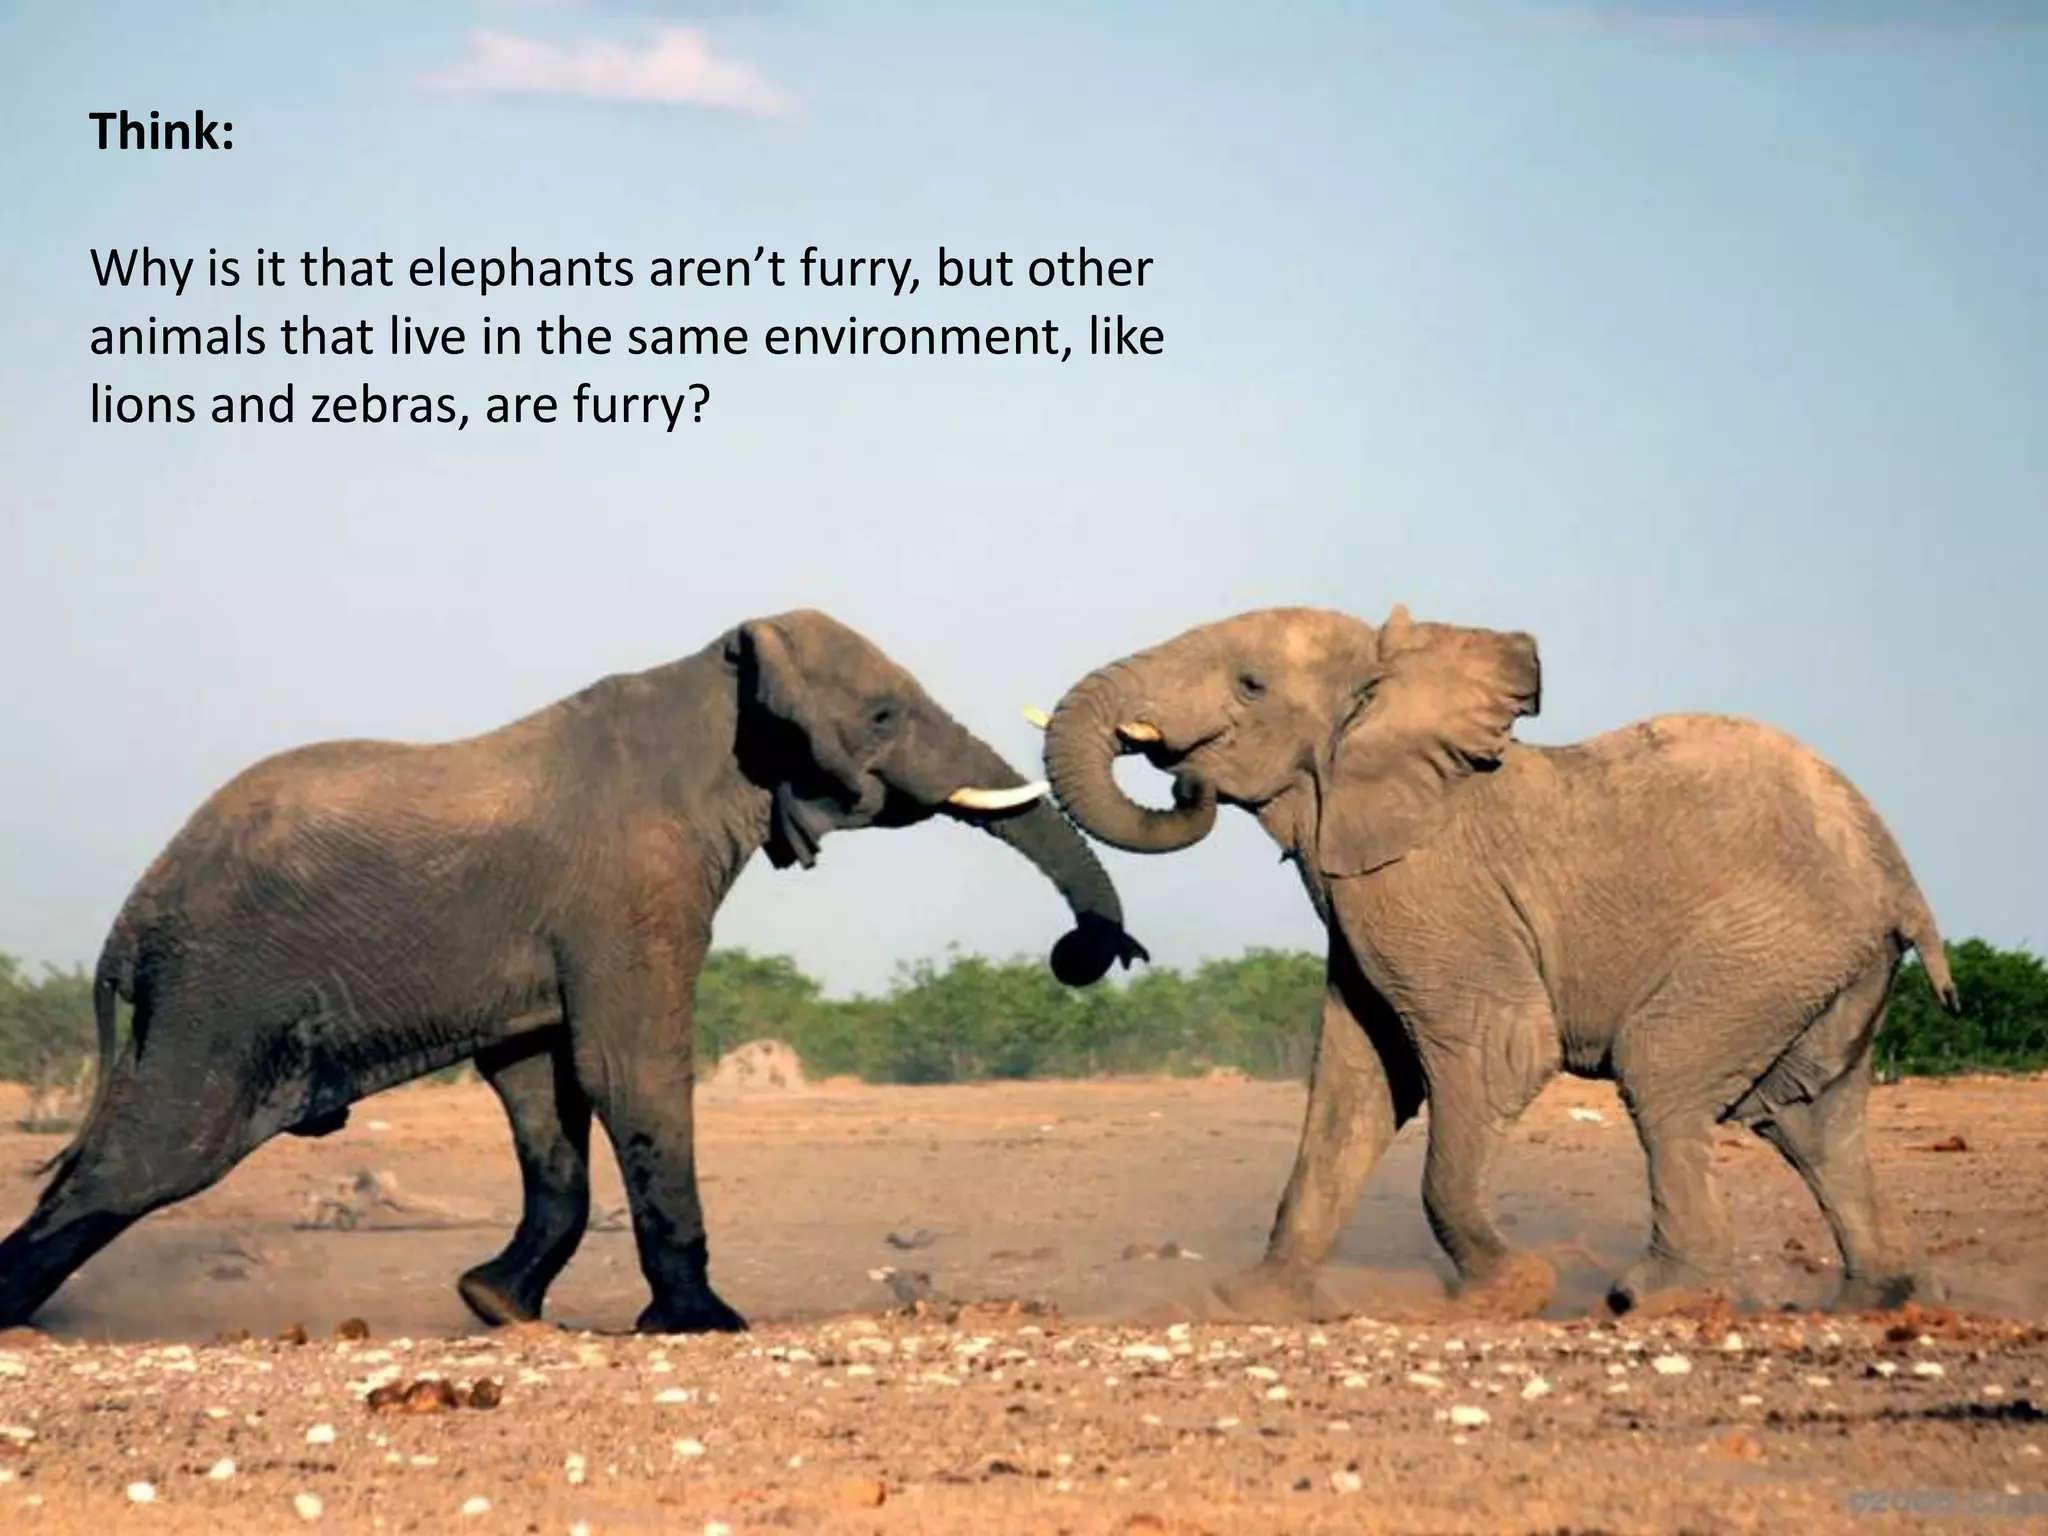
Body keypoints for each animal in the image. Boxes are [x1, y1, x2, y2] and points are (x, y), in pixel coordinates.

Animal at [0, 609, 1147, 1334]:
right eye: (881, 717)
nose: (1091, 956)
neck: (709, 679)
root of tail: (132, 917)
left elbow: (543, 1092)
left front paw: (494, 1305)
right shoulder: (633, 885)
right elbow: (629, 1068)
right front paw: (703, 1327)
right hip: (223, 990)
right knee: (151, 1156)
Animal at [1043, 603, 1959, 1317]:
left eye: (1250, 685)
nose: (1180, 777)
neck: (1390, 691)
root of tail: (1895, 870)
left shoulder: (1426, 886)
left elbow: (1497, 1052)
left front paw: (1510, 1291)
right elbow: (1357, 1082)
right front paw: (1249, 1304)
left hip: (1768, 943)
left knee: (1665, 1070)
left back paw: (1647, 1299)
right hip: (1826, 966)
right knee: (1810, 1119)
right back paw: (1871, 1300)